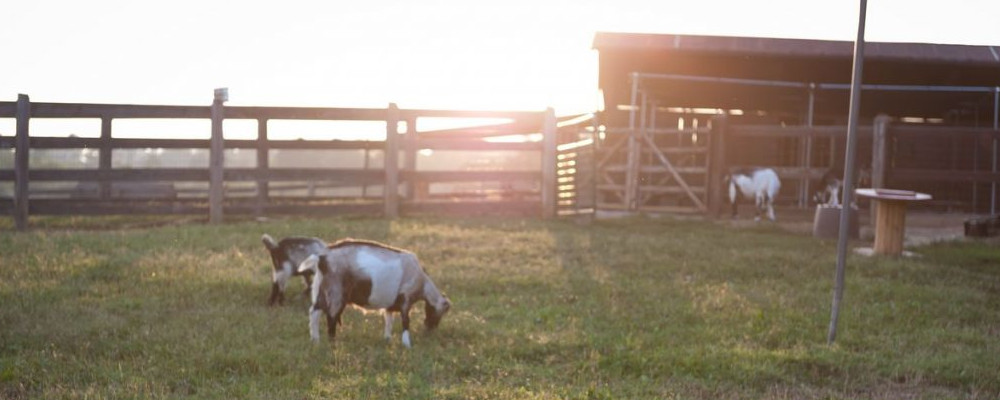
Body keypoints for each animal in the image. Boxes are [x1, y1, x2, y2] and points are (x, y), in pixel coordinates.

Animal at [296, 239, 454, 348]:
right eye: (440, 312)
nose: (429, 329)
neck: (422, 282)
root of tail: (322, 258)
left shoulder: (392, 305)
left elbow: (389, 321)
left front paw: (387, 339)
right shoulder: (406, 299)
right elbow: (405, 321)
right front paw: (407, 344)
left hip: (321, 290)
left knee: (314, 312)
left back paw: (315, 340)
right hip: (336, 293)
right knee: (331, 318)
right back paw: (332, 343)